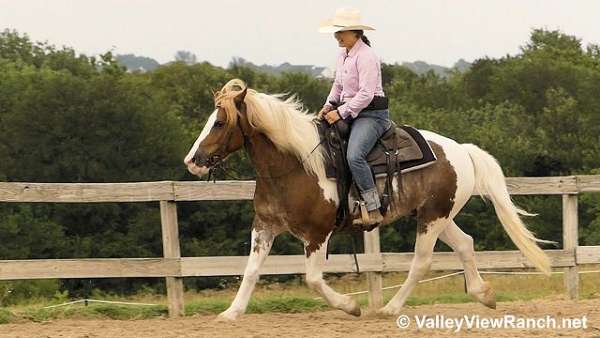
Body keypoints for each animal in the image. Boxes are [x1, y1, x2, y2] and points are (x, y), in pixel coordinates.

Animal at [184, 78, 552, 320]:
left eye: (219, 122)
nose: (192, 160)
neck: (296, 165)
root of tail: (461, 150)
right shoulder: (264, 227)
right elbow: (250, 270)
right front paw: (231, 313)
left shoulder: (318, 235)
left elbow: (313, 279)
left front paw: (351, 306)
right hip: (436, 215)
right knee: (465, 244)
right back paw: (483, 294)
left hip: (432, 218)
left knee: (422, 262)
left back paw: (389, 308)